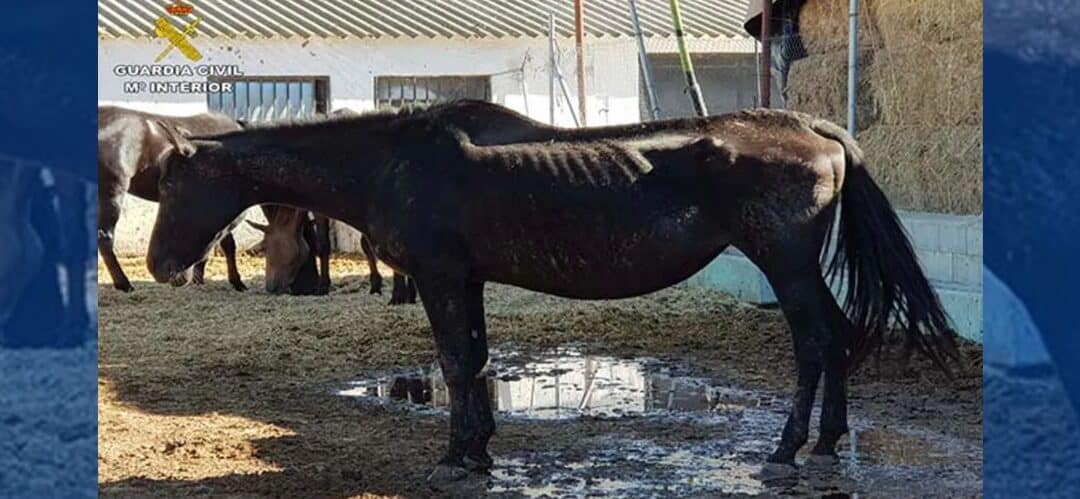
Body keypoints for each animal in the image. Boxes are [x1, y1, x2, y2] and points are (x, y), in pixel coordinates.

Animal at [145, 100, 963, 483]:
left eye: (177, 182)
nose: (157, 264)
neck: (394, 161)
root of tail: (817, 129)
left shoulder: (440, 276)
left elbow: (455, 364)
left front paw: (455, 456)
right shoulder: (466, 278)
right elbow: (474, 362)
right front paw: (478, 449)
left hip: (785, 262)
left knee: (817, 340)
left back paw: (789, 447)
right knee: (837, 336)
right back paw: (826, 440)